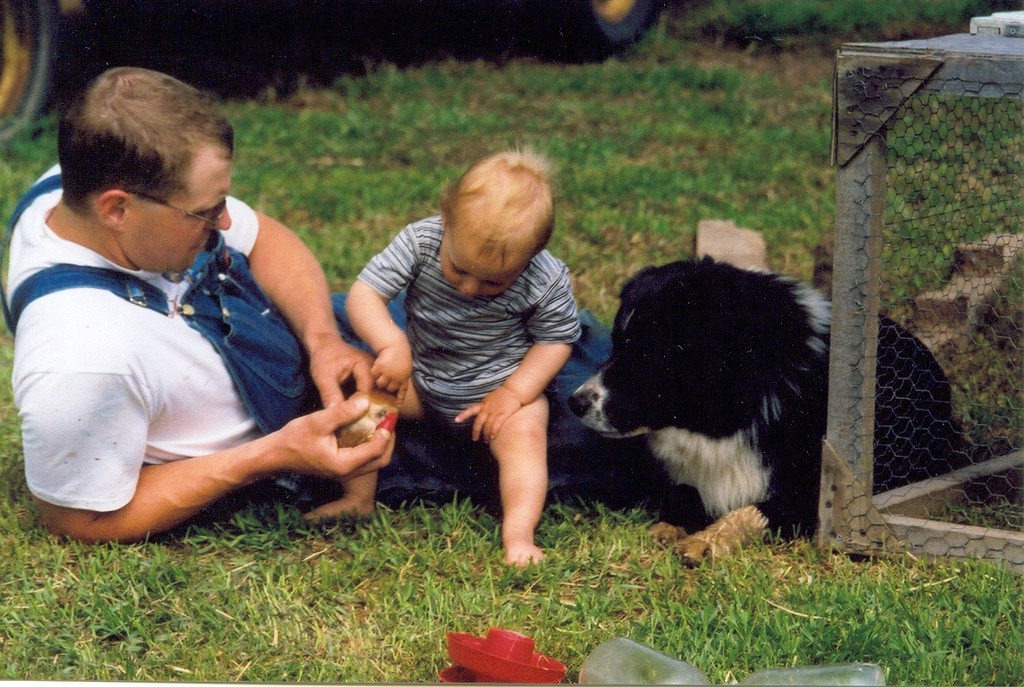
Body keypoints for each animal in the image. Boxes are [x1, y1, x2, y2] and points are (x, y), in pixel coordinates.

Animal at [569, 258, 964, 562]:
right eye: (617, 344)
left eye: (650, 353)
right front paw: (670, 526)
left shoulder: (822, 500)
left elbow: (753, 509)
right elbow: (684, 491)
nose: (576, 403)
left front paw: (707, 540)